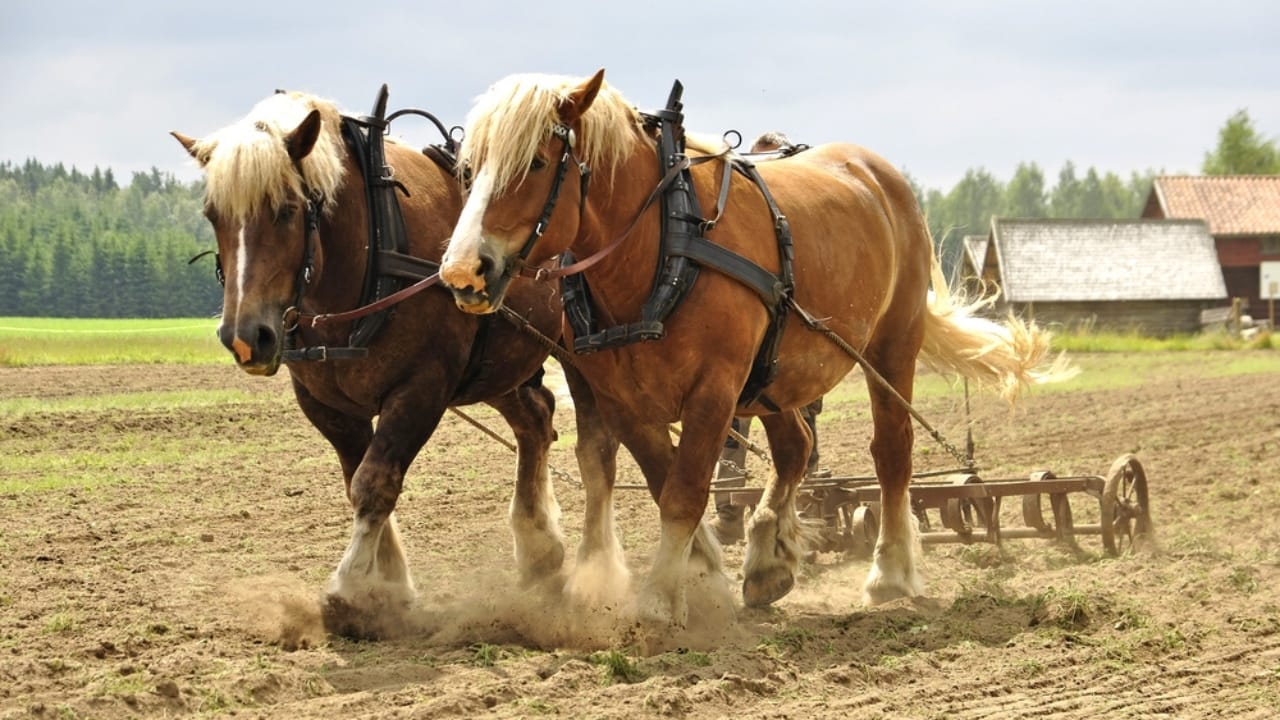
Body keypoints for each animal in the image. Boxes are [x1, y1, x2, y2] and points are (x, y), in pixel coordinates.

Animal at [172, 89, 568, 638]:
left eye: (287, 210)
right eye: (213, 214)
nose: (247, 338)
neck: (372, 247)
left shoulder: (421, 389)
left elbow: (375, 483)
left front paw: (347, 592)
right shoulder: (327, 404)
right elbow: (356, 480)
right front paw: (389, 587)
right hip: (501, 364)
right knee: (536, 419)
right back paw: (540, 551)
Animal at [437, 70, 1070, 628]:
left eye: (537, 163)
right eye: (470, 168)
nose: (463, 271)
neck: (663, 245)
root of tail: (879, 173)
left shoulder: (715, 388)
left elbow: (684, 492)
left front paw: (659, 601)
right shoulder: (624, 397)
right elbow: (665, 481)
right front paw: (703, 579)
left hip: (892, 346)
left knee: (892, 452)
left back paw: (889, 574)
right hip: (774, 375)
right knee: (795, 447)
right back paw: (768, 561)